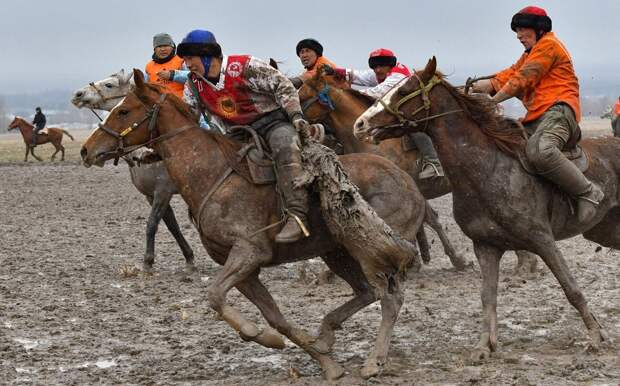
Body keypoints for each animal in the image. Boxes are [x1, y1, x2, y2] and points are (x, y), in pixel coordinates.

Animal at [72, 70, 196, 272]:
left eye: (109, 84)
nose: (78, 94)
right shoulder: (151, 195)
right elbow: (172, 225)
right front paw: (189, 257)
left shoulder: (163, 191)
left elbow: (152, 224)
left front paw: (148, 261)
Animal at [354, 57, 616, 362]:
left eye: (403, 89)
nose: (360, 124)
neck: (488, 167)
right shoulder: (486, 246)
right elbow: (487, 296)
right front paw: (484, 346)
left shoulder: (542, 240)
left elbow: (571, 288)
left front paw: (596, 336)